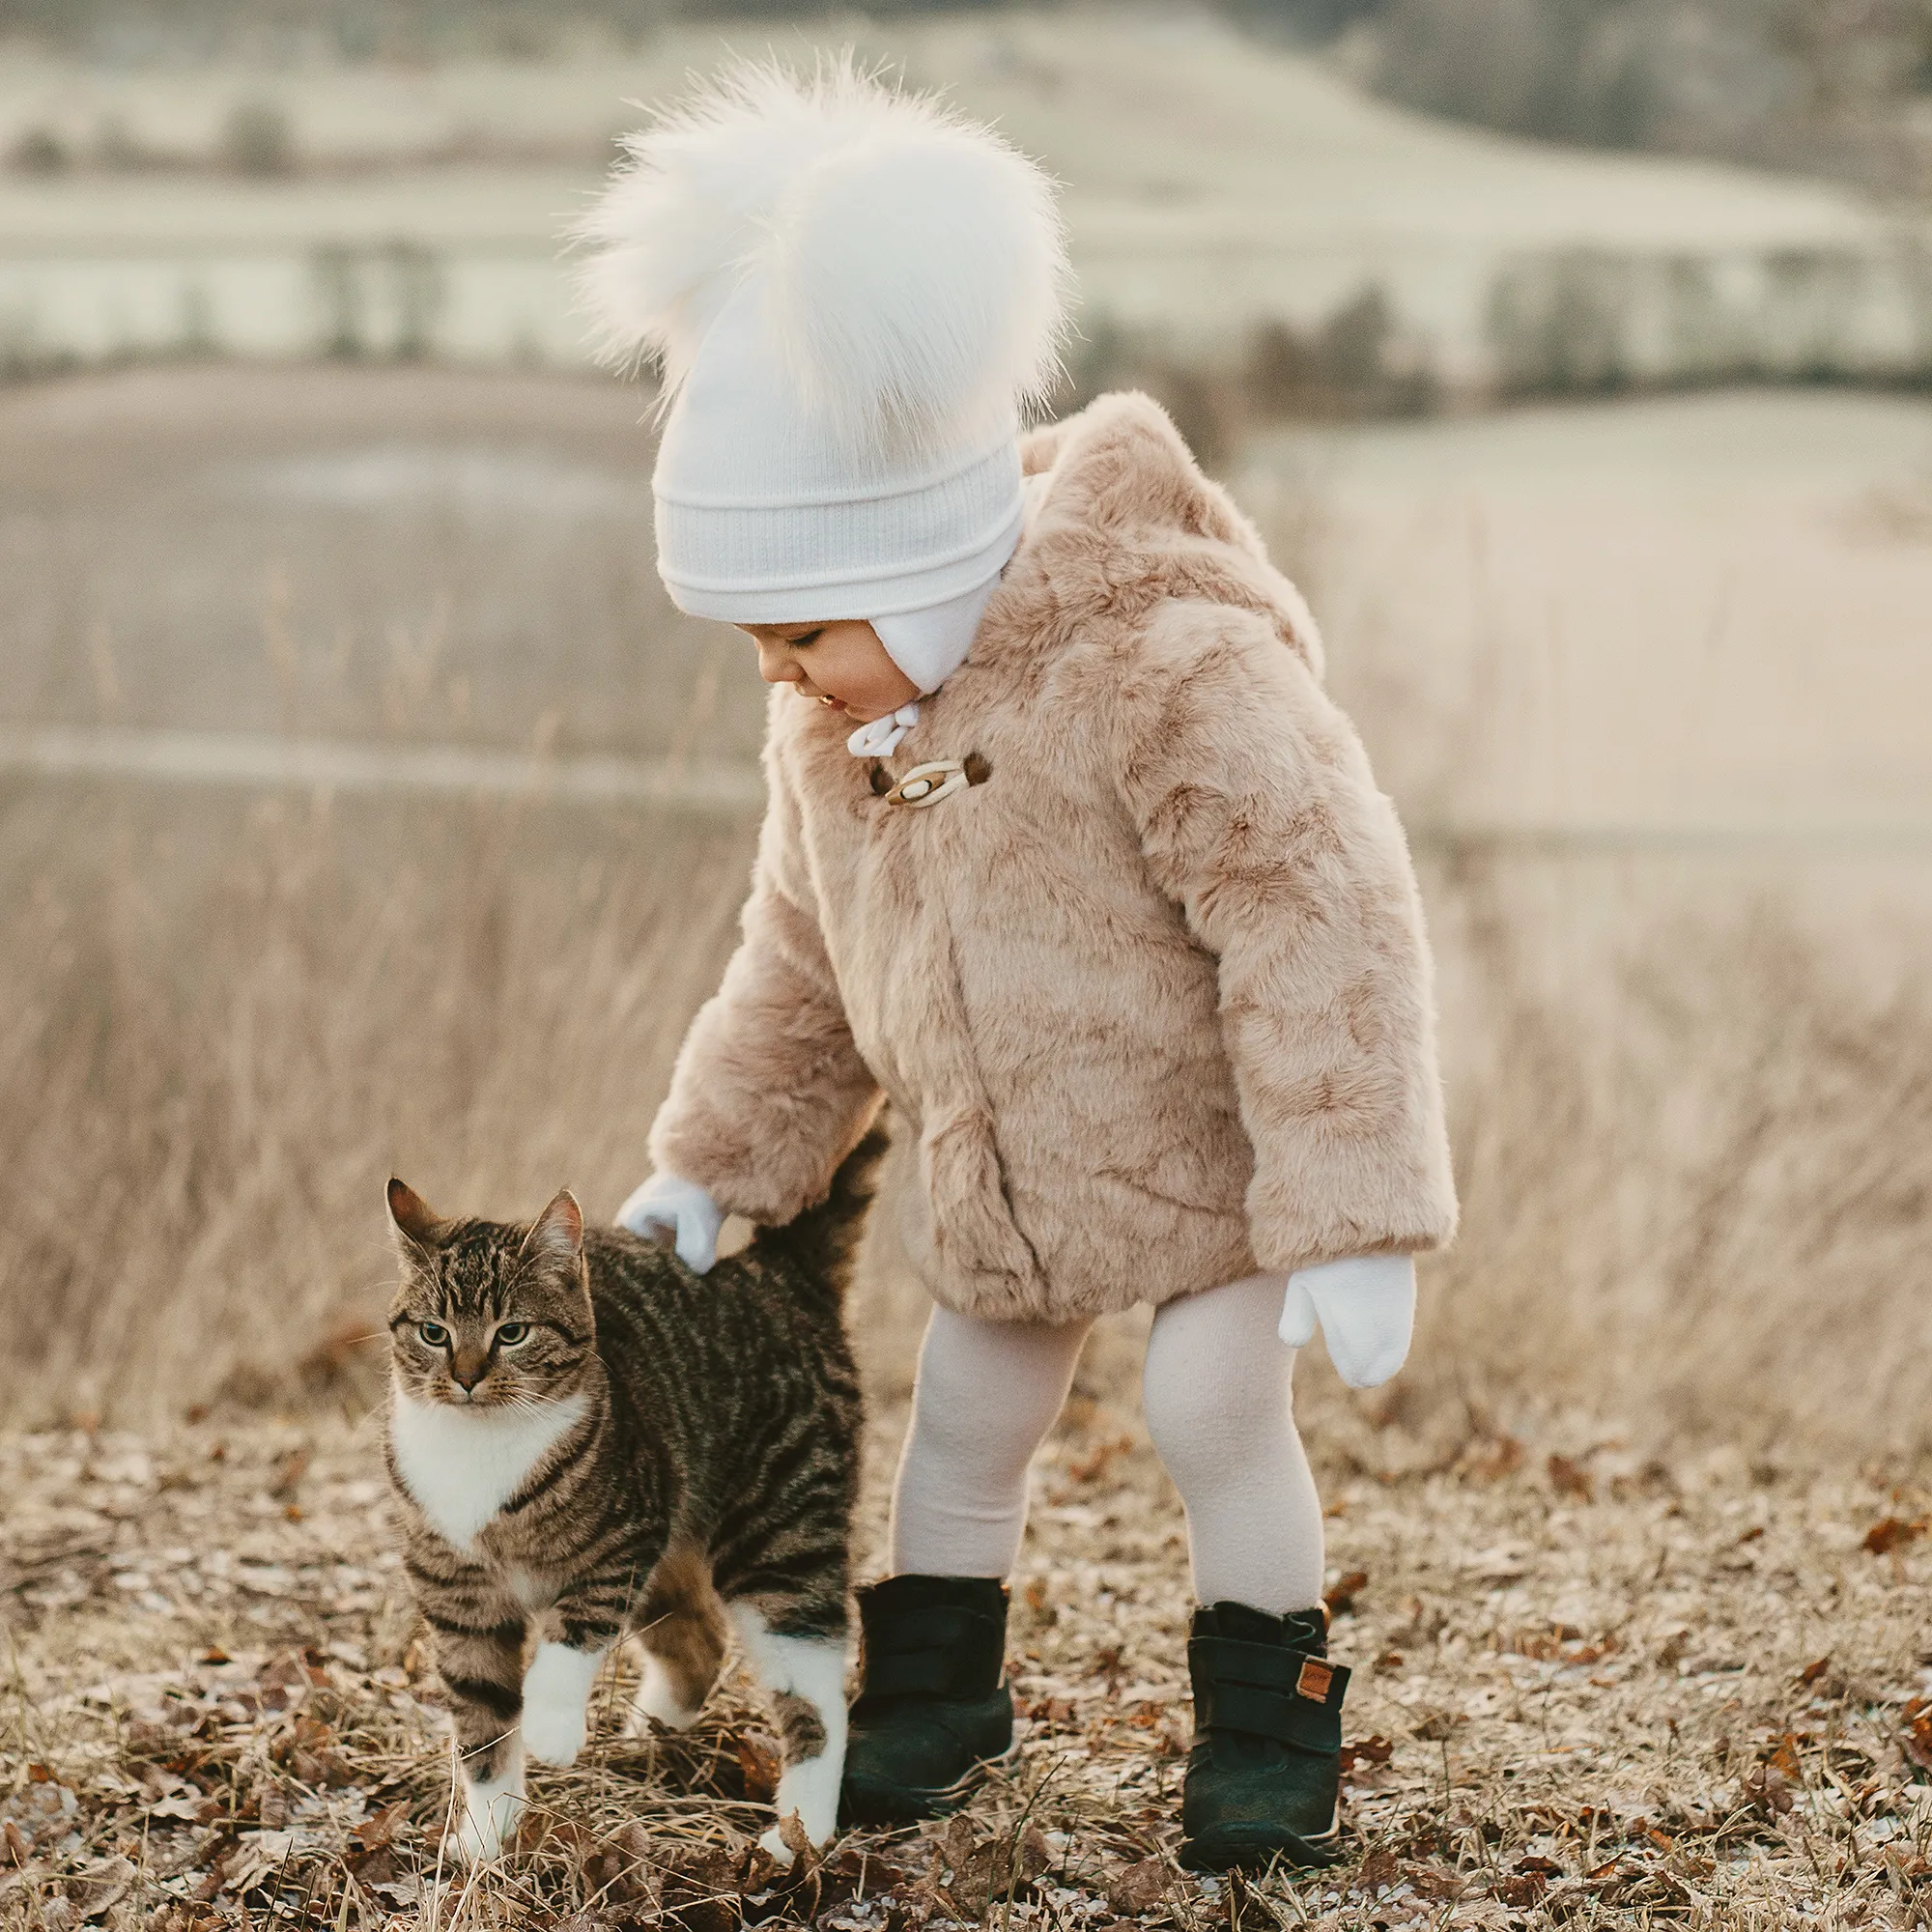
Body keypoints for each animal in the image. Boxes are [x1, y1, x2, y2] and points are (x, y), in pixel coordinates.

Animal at [381, 1128, 881, 1855]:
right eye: (433, 1332)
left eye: (512, 1332)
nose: (467, 1378)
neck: (481, 1447)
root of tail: (774, 1272)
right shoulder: (459, 1596)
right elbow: (481, 1724)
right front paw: (486, 1839)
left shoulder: (627, 1536)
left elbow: (572, 1636)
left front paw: (552, 1729)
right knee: (700, 1639)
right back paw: (652, 1736)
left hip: (783, 1534)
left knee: (816, 1692)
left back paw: (799, 1832)